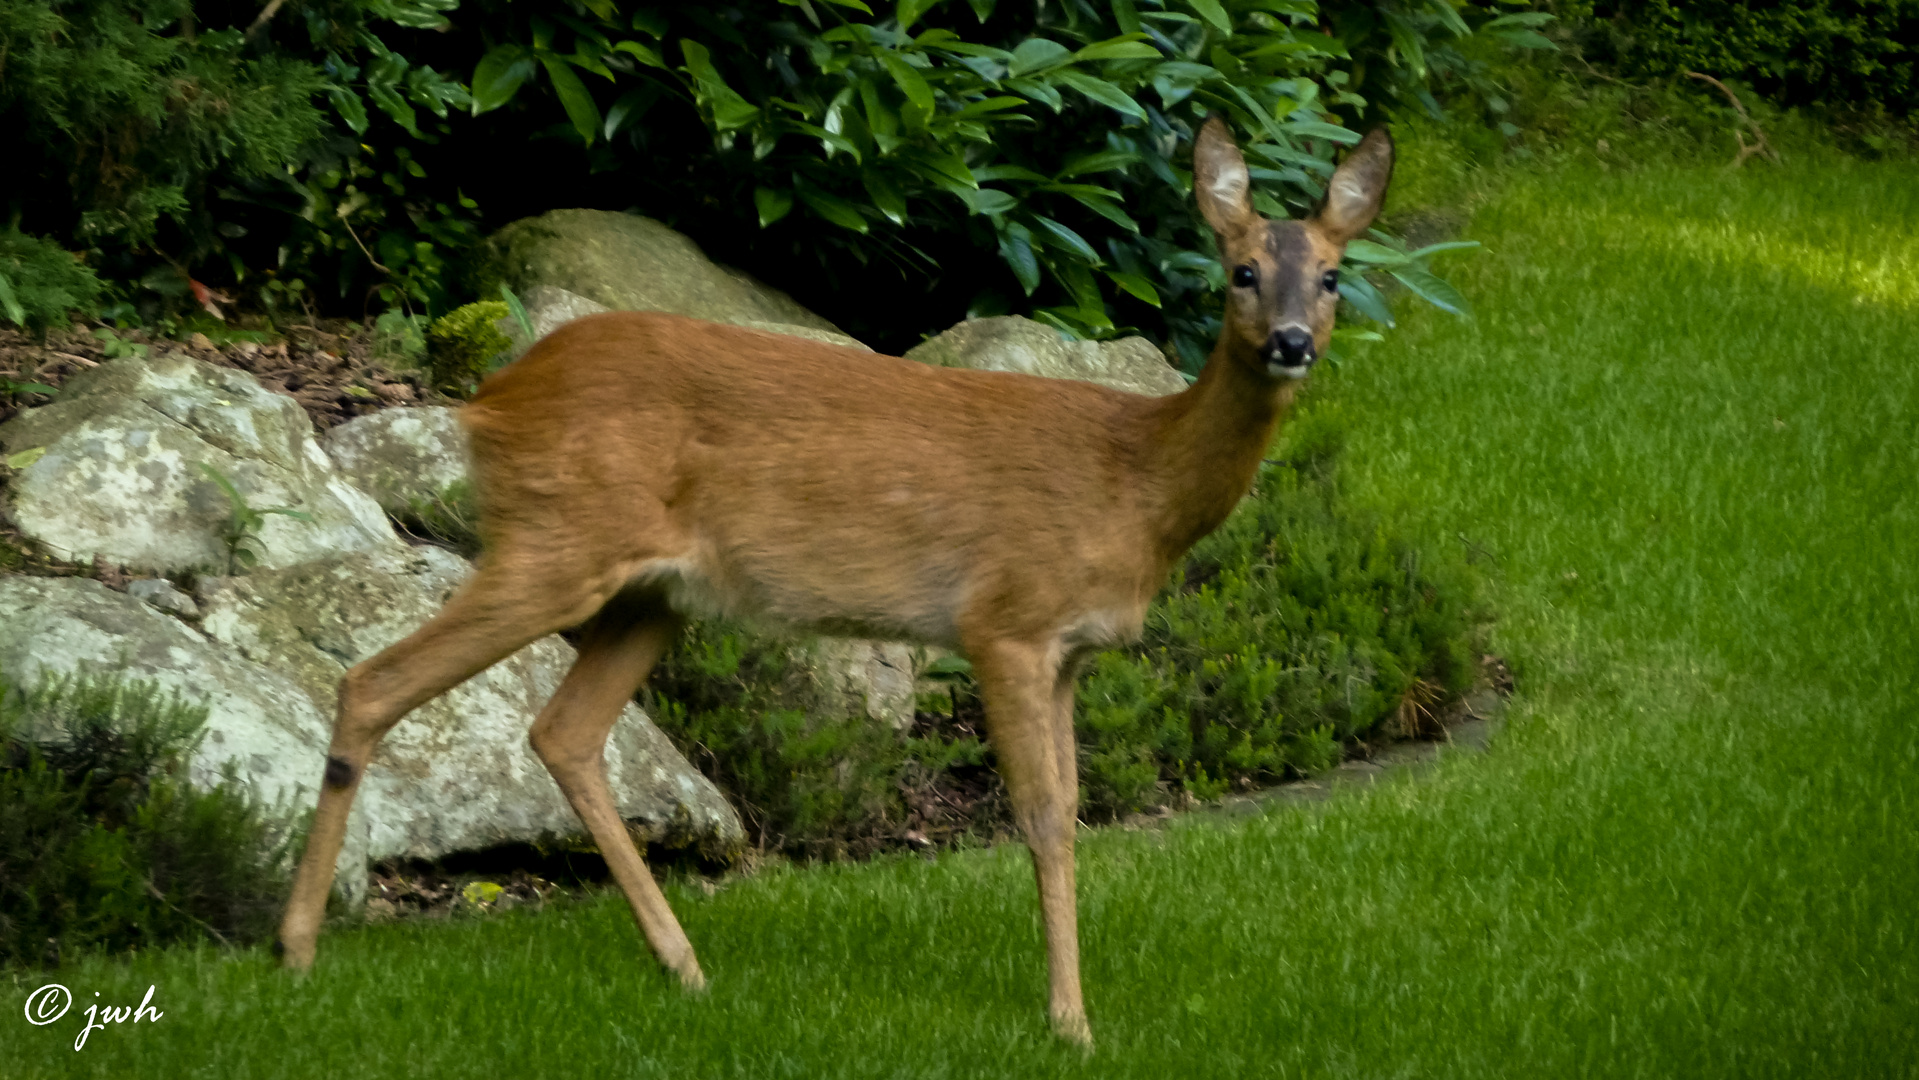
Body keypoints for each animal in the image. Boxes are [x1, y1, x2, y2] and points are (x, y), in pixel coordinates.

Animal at [270, 118, 1389, 1051]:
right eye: (1241, 270)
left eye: (1332, 278)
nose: (1290, 343)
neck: (1135, 480)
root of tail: (488, 402)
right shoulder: (1005, 621)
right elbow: (1036, 817)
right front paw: (1069, 1024)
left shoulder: (1068, 653)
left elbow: (1068, 813)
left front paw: (1072, 1010)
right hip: (553, 544)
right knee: (373, 681)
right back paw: (295, 948)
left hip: (653, 593)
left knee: (563, 731)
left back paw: (683, 966)